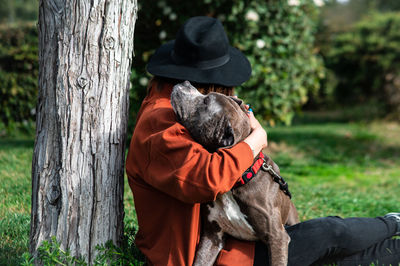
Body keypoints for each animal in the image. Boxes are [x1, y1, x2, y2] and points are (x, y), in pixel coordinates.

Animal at [170, 81, 298, 266]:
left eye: (206, 101)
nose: (185, 82)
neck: (237, 183)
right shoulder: (212, 236)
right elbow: (200, 261)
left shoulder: (277, 238)